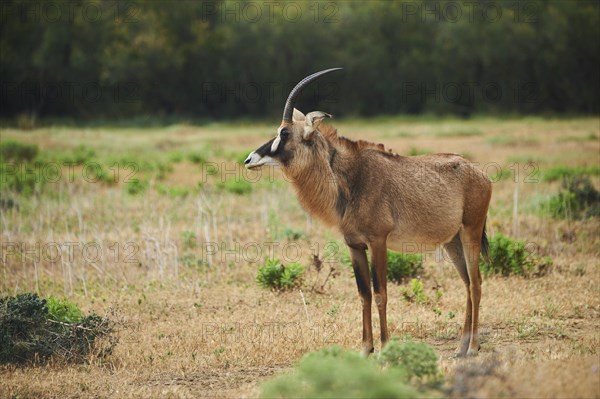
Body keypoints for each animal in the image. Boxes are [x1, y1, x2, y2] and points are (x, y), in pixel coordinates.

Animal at [244, 69, 492, 360]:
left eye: (284, 132)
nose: (249, 160)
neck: (350, 179)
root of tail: (478, 173)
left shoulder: (378, 242)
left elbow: (380, 292)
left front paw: (385, 347)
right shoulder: (354, 246)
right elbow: (363, 294)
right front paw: (366, 348)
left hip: (471, 232)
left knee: (475, 283)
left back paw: (473, 347)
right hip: (452, 241)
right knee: (466, 283)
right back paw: (461, 347)